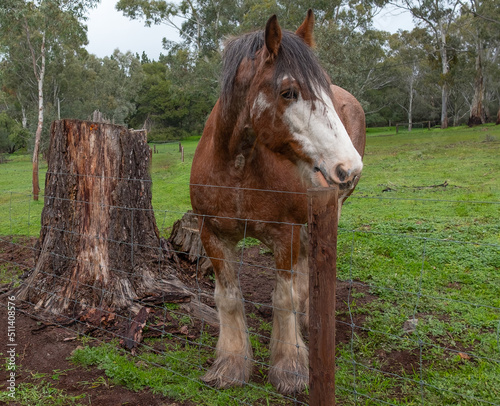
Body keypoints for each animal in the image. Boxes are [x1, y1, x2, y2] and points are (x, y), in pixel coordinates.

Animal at [189, 11, 366, 394]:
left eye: (325, 89)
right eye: (288, 92)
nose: (350, 166)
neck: (238, 167)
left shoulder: (284, 233)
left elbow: (283, 298)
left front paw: (290, 368)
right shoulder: (212, 234)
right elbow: (227, 297)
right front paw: (230, 364)